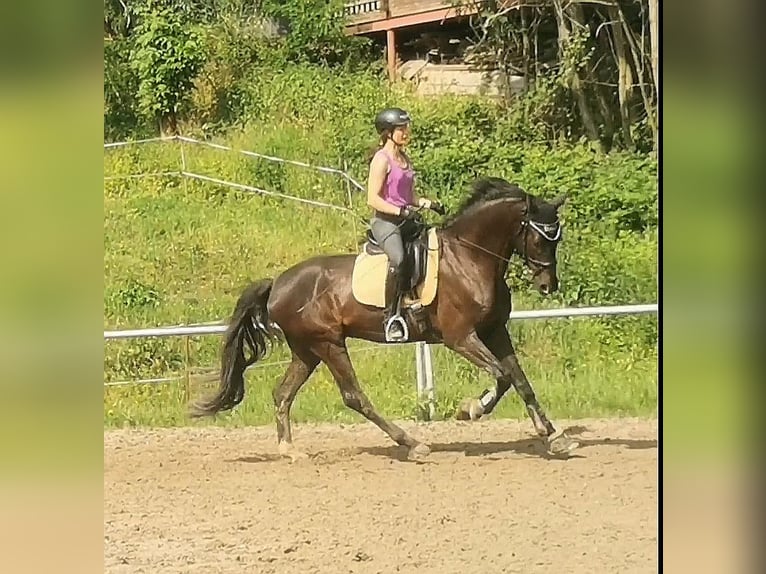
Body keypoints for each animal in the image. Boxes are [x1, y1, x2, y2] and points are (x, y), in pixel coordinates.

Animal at [190, 177, 579, 460]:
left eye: (556, 239)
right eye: (541, 239)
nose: (548, 285)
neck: (469, 258)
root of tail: (277, 284)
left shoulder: (495, 331)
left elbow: (520, 380)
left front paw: (553, 436)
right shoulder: (460, 337)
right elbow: (501, 376)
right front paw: (470, 409)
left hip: (307, 350)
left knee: (283, 393)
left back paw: (289, 450)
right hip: (328, 343)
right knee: (353, 396)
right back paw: (413, 444)